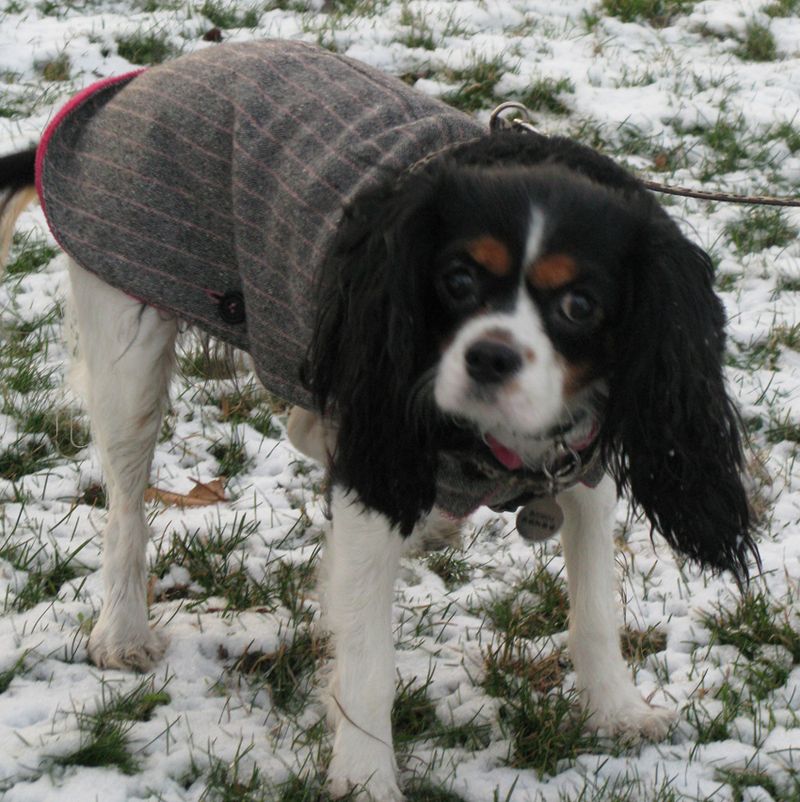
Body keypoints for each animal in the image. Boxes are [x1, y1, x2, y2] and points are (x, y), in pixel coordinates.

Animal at [0, 39, 756, 800]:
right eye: (457, 280)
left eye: (579, 306)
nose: (489, 356)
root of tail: (137, 81)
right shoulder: (373, 459)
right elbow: (368, 658)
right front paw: (365, 777)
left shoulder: (583, 462)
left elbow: (596, 608)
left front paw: (619, 711)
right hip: (129, 342)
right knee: (127, 504)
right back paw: (123, 631)